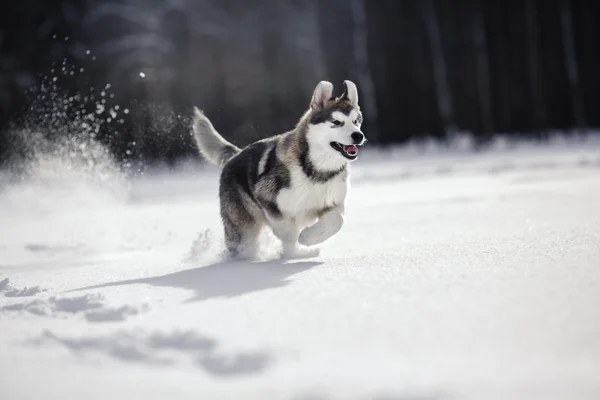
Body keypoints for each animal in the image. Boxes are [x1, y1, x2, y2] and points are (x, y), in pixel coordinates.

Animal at [192, 80, 366, 260]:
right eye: (337, 122)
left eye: (356, 121)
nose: (358, 135)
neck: (316, 170)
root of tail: (235, 155)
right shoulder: (267, 198)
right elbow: (289, 232)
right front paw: (295, 251)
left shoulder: (333, 202)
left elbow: (337, 220)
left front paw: (308, 238)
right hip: (242, 226)